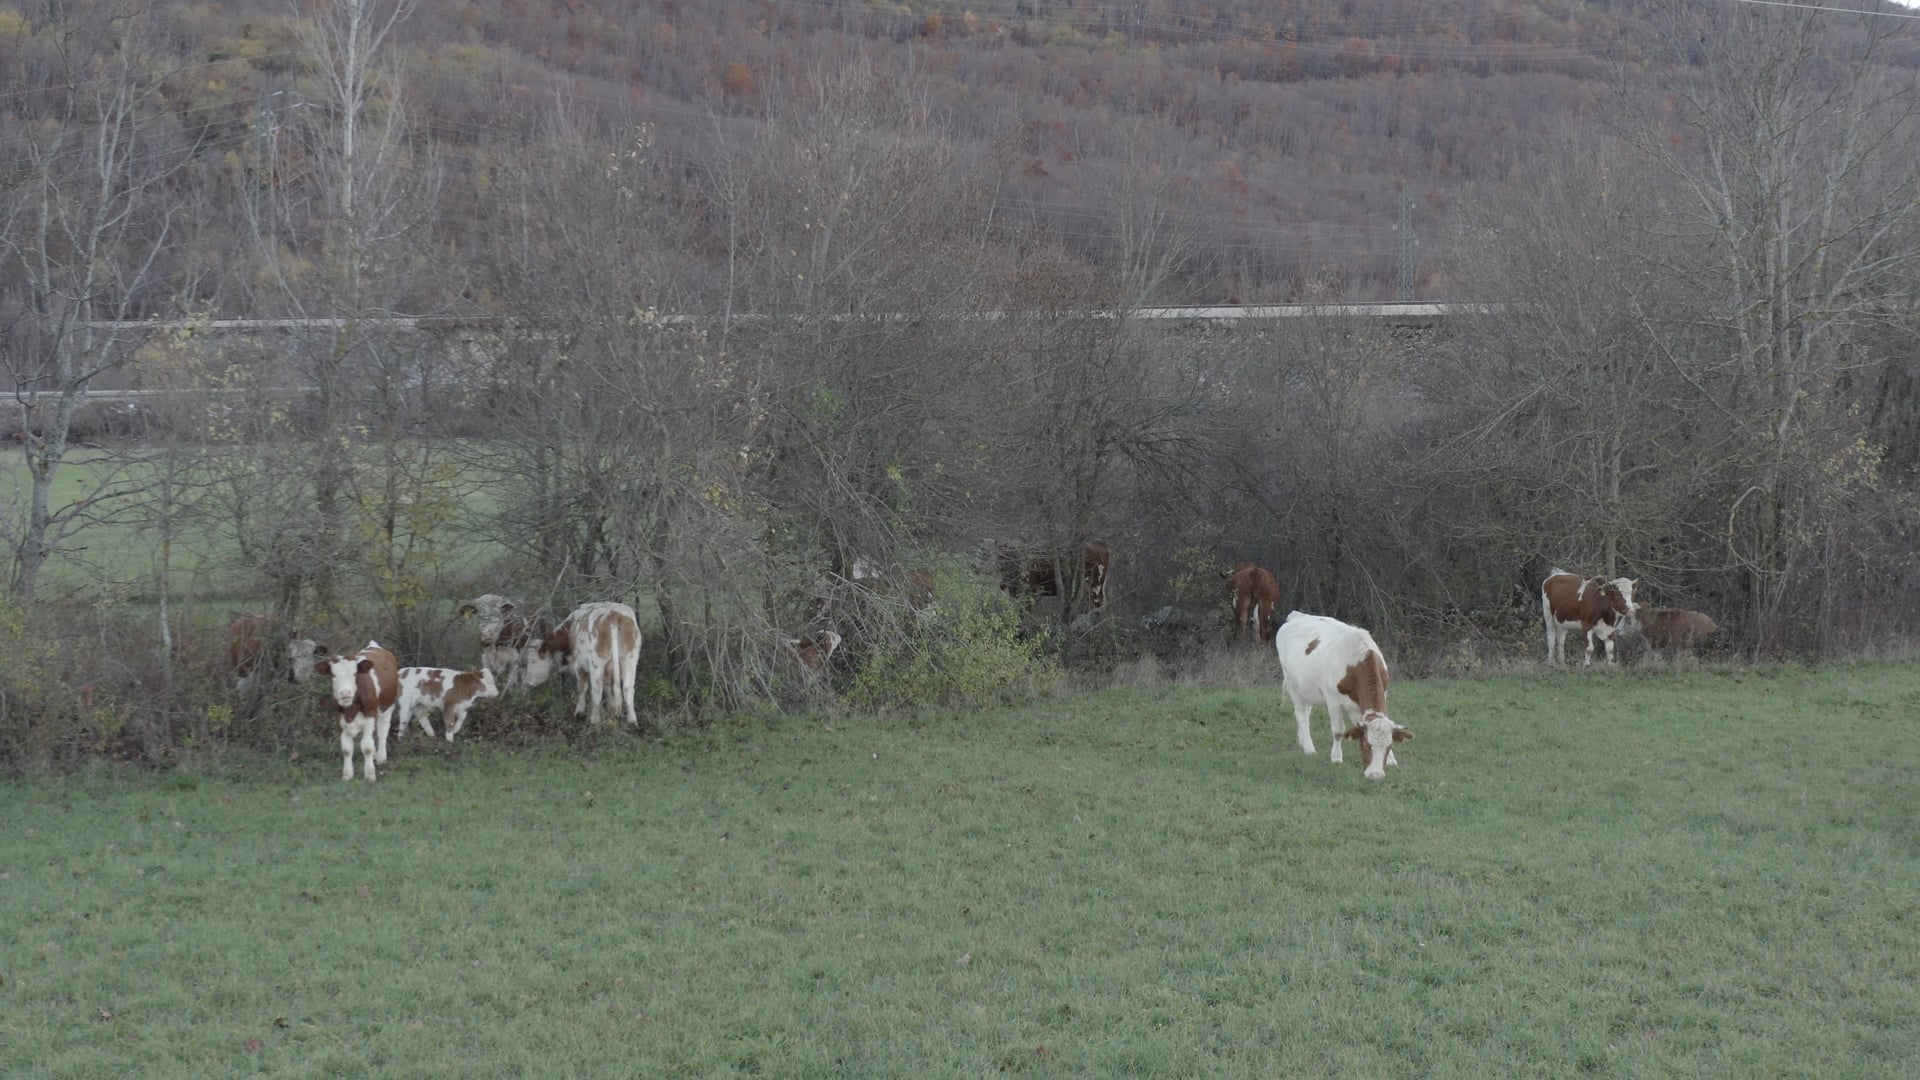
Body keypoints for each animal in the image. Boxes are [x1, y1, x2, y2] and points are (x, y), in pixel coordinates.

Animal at [317, 642, 401, 782]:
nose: (345, 693)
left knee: (382, 730)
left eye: (355, 673)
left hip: (388, 706)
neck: (351, 709)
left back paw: (381, 757)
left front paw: (370, 774)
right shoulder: (339, 720)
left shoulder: (370, 714)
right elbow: (346, 749)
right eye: (333, 675)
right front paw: (347, 775)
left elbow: (367, 747)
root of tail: (374, 645)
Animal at [1273, 611, 1414, 780]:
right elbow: (1338, 731)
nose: (1375, 775)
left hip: (1308, 688)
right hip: (1293, 685)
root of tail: (1296, 615)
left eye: (1389, 746)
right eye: (1366, 745)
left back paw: (1302, 740)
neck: (1357, 662)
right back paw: (1309, 748)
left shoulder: (1379, 696)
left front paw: (1392, 760)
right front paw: (1336, 758)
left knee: (1306, 712)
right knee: (1301, 715)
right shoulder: (1333, 700)